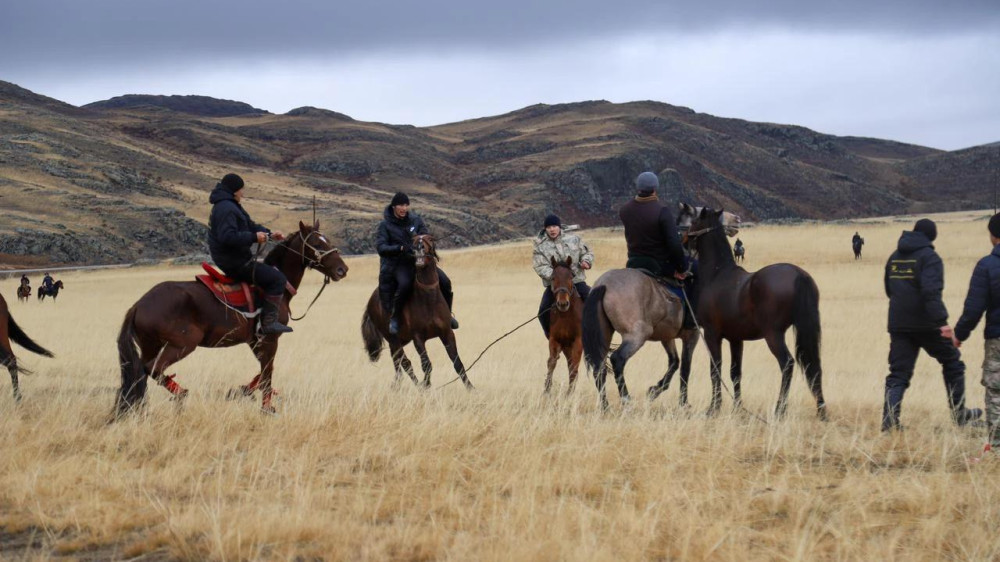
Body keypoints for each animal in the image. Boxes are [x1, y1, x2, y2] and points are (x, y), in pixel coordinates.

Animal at [115, 221, 350, 414]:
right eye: (317, 244)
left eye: (327, 240)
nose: (342, 269)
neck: (278, 287)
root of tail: (139, 305)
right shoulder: (270, 339)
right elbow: (267, 373)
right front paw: (266, 408)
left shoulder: (255, 341)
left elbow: (263, 371)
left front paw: (242, 391)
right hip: (182, 344)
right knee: (153, 369)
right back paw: (181, 395)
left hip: (151, 345)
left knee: (141, 372)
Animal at [362, 234, 474, 388]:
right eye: (413, 240)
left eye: (430, 239)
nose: (419, 247)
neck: (428, 298)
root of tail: (371, 300)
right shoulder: (418, 338)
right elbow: (426, 364)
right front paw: (426, 386)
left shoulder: (447, 333)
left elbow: (458, 363)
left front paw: (471, 388)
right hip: (393, 338)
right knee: (404, 362)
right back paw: (416, 387)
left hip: (401, 339)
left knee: (397, 360)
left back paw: (398, 384)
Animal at [548, 256, 584, 392]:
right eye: (553, 277)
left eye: (571, 276)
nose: (563, 304)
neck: (565, 315)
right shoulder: (555, 340)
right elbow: (552, 363)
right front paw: (546, 390)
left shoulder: (578, 341)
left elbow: (574, 369)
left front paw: (569, 394)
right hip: (567, 348)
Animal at [580, 203, 744, 410]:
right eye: (714, 214)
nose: (737, 220)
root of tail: (604, 284)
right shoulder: (692, 334)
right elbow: (685, 368)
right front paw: (684, 403)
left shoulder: (667, 335)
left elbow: (674, 362)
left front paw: (655, 390)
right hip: (637, 334)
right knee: (617, 359)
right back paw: (626, 400)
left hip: (604, 333)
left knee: (599, 366)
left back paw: (605, 406)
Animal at [684, 208, 824, 418]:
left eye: (694, 222)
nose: (684, 241)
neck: (718, 274)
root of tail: (799, 274)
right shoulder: (735, 339)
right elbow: (735, 373)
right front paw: (737, 407)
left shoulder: (711, 334)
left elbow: (715, 369)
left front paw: (713, 408)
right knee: (813, 367)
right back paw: (821, 411)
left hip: (773, 335)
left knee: (787, 364)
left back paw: (779, 409)